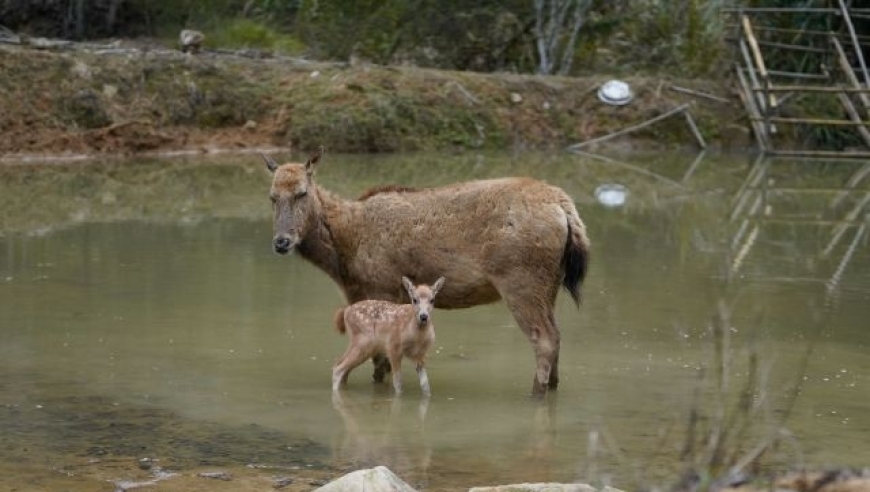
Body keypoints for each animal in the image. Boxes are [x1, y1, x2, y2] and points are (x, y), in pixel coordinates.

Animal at [264, 149, 592, 396]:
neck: (344, 251)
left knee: (544, 339)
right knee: (557, 336)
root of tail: (565, 209)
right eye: (272, 196)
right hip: (550, 285)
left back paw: (535, 392)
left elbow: (380, 363)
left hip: (521, 281)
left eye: (301, 193)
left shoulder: (381, 287)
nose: (281, 241)